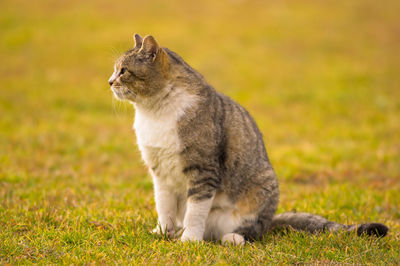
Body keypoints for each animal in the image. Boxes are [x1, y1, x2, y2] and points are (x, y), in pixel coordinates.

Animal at [108, 33, 390, 245]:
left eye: (124, 71)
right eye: (115, 70)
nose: (109, 82)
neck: (153, 112)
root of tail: (272, 218)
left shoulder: (203, 170)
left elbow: (195, 211)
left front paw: (189, 240)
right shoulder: (160, 172)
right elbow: (164, 207)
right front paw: (162, 233)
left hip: (260, 191)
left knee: (253, 230)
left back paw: (232, 238)